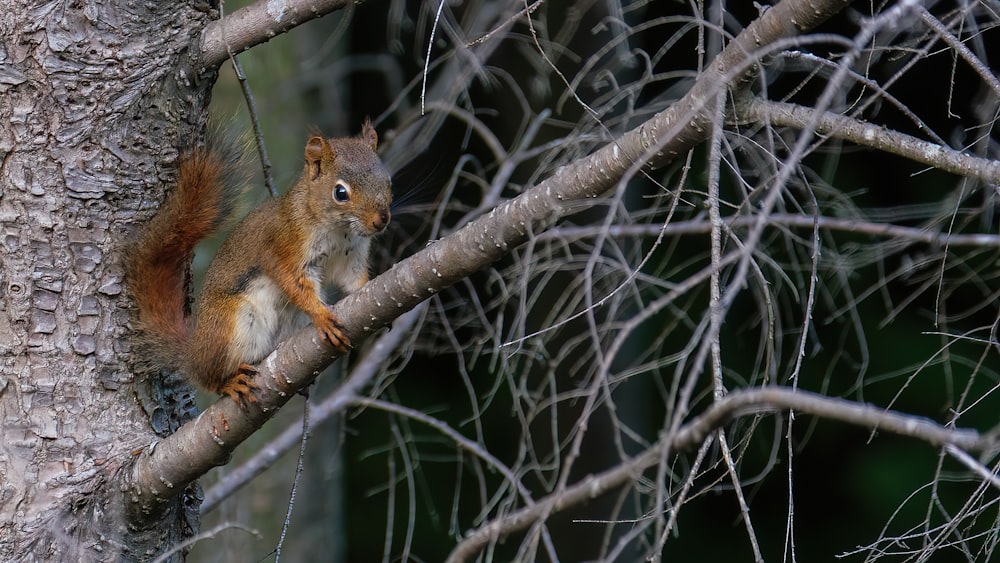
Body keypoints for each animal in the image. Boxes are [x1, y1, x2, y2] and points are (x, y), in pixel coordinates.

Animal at [122, 121, 390, 408]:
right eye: (340, 193)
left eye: (388, 182)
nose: (381, 221)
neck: (339, 231)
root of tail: (192, 353)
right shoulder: (284, 247)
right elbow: (293, 282)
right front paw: (322, 316)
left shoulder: (352, 257)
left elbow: (352, 281)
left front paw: (368, 290)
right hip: (231, 326)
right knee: (209, 378)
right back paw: (230, 383)